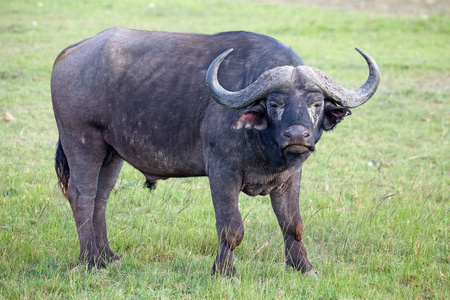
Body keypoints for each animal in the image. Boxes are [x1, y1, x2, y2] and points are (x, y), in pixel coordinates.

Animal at [51, 26, 378, 276]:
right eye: (275, 102)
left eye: (316, 103)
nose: (297, 135)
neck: (264, 146)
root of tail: (70, 53)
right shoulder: (223, 173)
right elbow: (231, 228)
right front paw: (225, 272)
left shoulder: (290, 177)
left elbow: (293, 224)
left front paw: (303, 267)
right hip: (82, 141)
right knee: (82, 197)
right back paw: (91, 261)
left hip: (112, 153)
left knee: (101, 198)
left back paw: (109, 256)